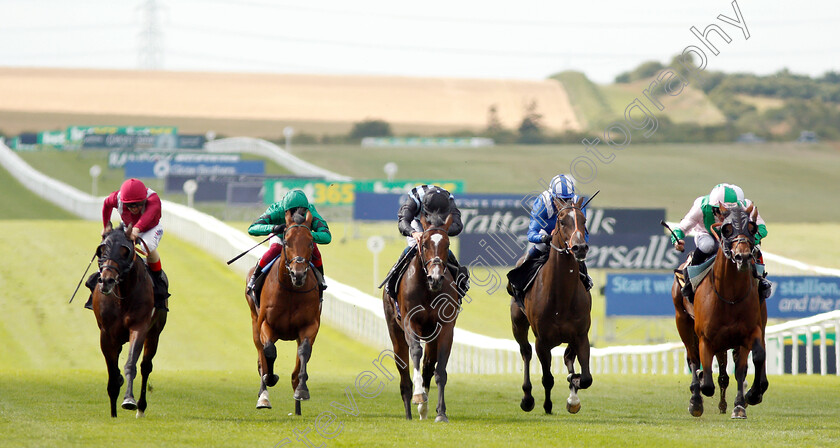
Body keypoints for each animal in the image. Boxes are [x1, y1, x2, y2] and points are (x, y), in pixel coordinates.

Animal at [93, 222, 167, 418]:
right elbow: (112, 372)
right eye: (101, 249)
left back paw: (141, 408)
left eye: (125, 251)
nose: (107, 281)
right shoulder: (106, 333)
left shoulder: (139, 327)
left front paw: (129, 400)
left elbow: (131, 364)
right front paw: (113, 412)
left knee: (146, 366)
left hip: (154, 333)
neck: (122, 296)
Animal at [246, 206, 322, 416]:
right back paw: (263, 395)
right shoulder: (266, 323)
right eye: (286, 241)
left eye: (310, 242)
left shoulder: (310, 325)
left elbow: (304, 352)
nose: (298, 274)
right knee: (261, 355)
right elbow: (269, 352)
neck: (290, 291)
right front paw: (270, 380)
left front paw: (301, 390)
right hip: (254, 322)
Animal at [386, 214, 462, 424]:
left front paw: (441, 413)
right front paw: (419, 396)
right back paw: (410, 410)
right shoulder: (409, 322)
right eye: (425, 244)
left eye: (447, 243)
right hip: (395, 331)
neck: (429, 290)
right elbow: (415, 352)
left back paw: (425, 409)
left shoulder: (445, 327)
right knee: (404, 372)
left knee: (429, 366)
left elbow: (440, 370)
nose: (435, 278)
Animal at [508, 198, 592, 414]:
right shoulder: (542, 340)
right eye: (562, 221)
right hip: (518, 324)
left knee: (568, 357)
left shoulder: (581, 335)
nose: (579, 247)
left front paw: (573, 390)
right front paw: (546, 404)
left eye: (584, 220)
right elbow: (547, 378)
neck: (560, 298)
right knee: (526, 352)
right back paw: (527, 398)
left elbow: (586, 378)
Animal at [672, 204, 772, 420]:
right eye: (726, 229)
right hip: (682, 321)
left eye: (752, 227)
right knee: (692, 358)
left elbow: (753, 360)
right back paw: (696, 399)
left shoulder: (749, 332)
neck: (730, 296)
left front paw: (746, 399)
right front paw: (700, 388)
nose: (743, 256)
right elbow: (707, 380)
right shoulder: (706, 337)